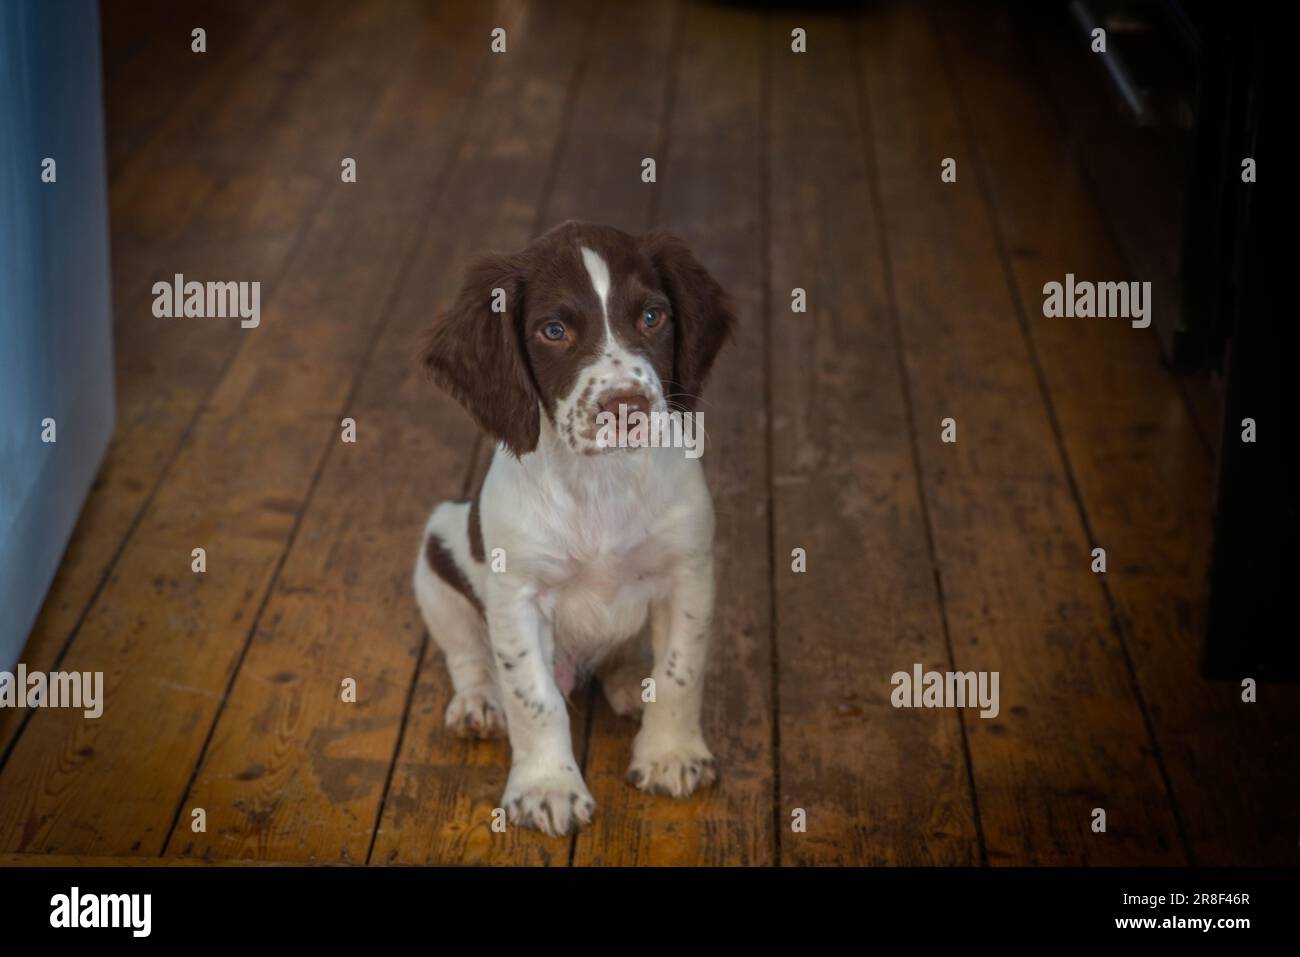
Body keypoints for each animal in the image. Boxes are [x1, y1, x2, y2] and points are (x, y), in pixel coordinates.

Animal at [418, 221, 738, 832]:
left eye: (653, 316)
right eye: (554, 330)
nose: (627, 407)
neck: (601, 482)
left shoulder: (689, 572)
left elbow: (681, 671)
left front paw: (669, 754)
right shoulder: (516, 595)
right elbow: (533, 697)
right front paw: (548, 786)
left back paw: (631, 682)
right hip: (435, 550)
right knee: (468, 654)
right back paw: (478, 704)